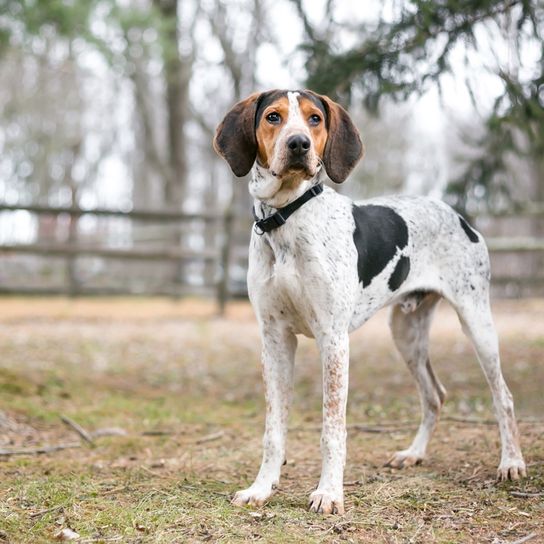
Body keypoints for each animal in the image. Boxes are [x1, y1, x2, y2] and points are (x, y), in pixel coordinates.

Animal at [214, 89, 528, 516]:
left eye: (314, 119)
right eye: (273, 117)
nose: (299, 145)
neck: (287, 218)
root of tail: (458, 215)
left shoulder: (333, 339)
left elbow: (332, 429)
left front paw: (329, 493)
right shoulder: (274, 339)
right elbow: (273, 429)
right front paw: (262, 488)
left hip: (476, 321)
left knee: (503, 397)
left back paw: (511, 462)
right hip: (406, 333)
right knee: (435, 395)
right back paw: (414, 453)